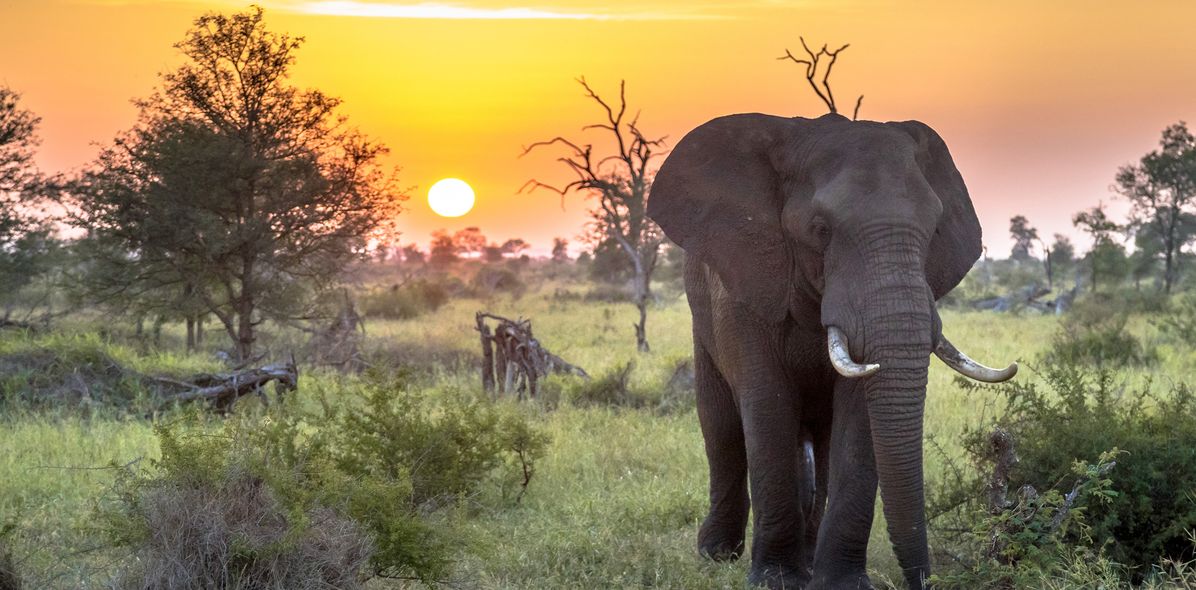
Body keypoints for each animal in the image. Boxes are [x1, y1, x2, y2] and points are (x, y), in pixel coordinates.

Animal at [646, 112, 1016, 589]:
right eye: (820, 230)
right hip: (702, 322)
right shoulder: (746, 285)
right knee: (721, 427)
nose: (924, 580)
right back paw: (718, 554)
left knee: (819, 445)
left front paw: (839, 583)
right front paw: (776, 580)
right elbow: (767, 404)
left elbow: (858, 417)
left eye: (934, 230)